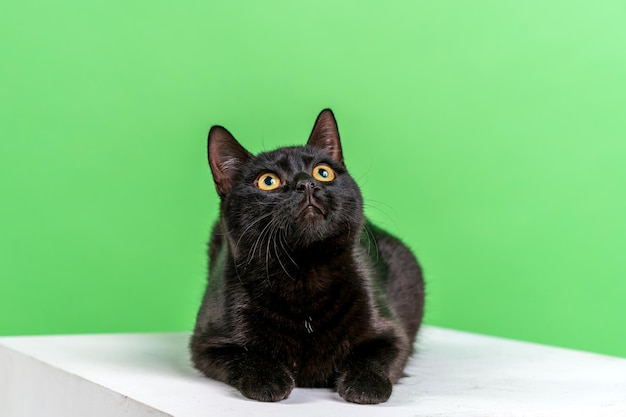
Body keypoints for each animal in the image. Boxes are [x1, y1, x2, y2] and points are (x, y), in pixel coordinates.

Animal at [189, 108, 424, 404]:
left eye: (323, 172)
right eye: (268, 181)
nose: (306, 183)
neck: (303, 273)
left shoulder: (391, 332)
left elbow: (373, 356)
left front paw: (366, 385)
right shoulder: (207, 342)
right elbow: (245, 356)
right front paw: (268, 380)